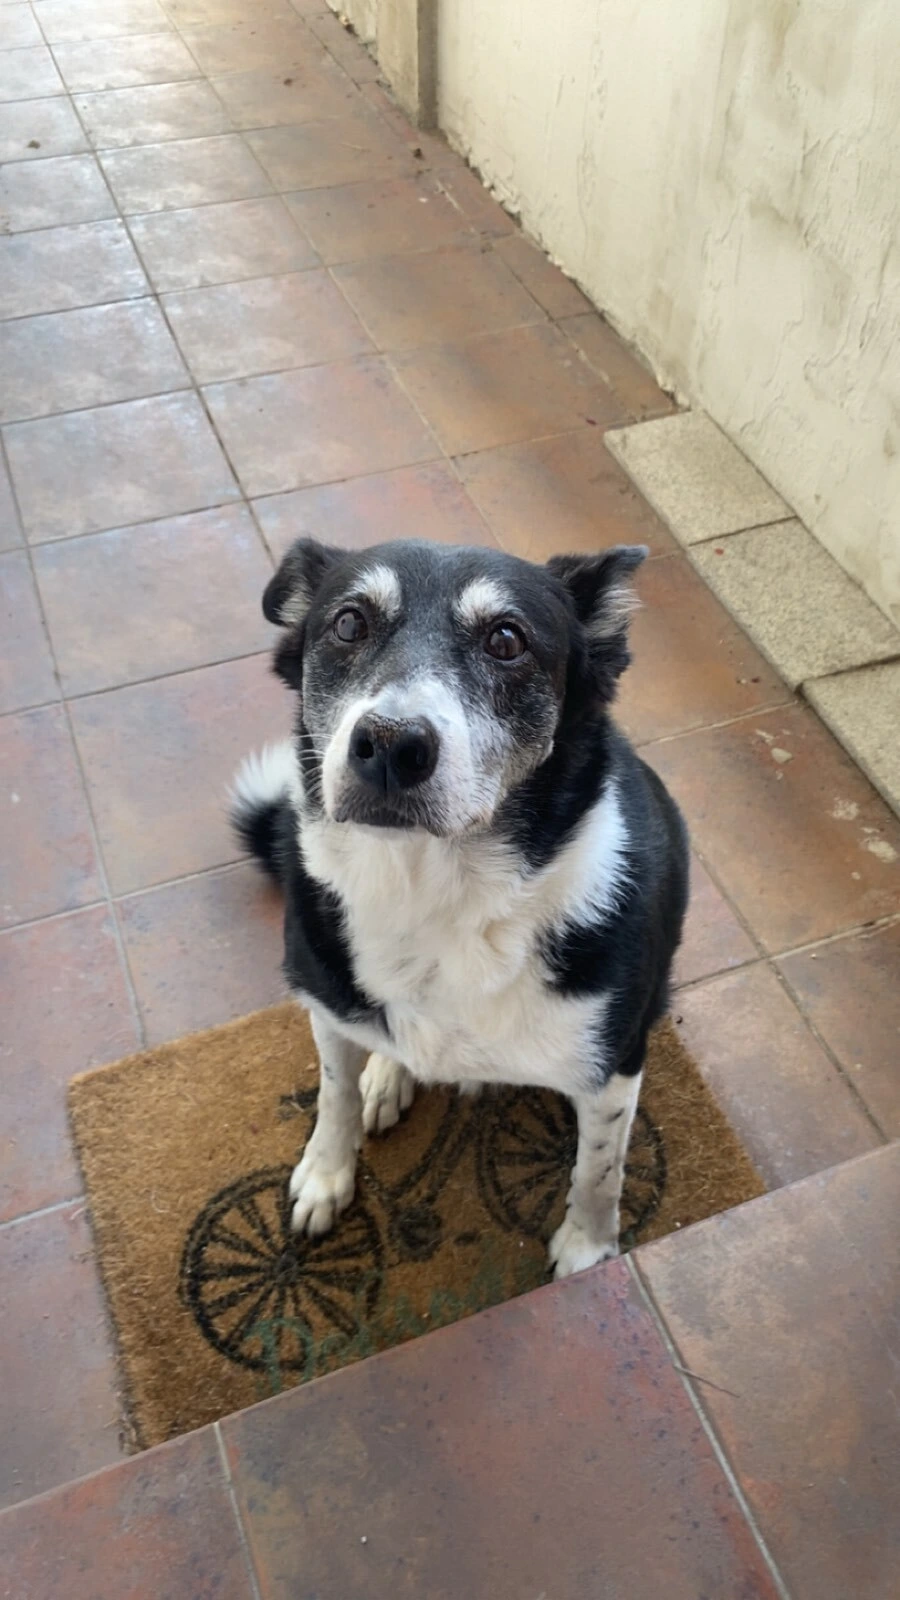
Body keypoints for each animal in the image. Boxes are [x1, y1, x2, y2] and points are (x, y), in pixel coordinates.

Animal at [231, 536, 689, 1278]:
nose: (391, 744)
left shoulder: (612, 1068)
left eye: (506, 639)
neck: (435, 895)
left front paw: (587, 1251)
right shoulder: (327, 1005)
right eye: (349, 623)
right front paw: (326, 1177)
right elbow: (333, 1094)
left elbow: (600, 1170)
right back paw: (387, 1075)